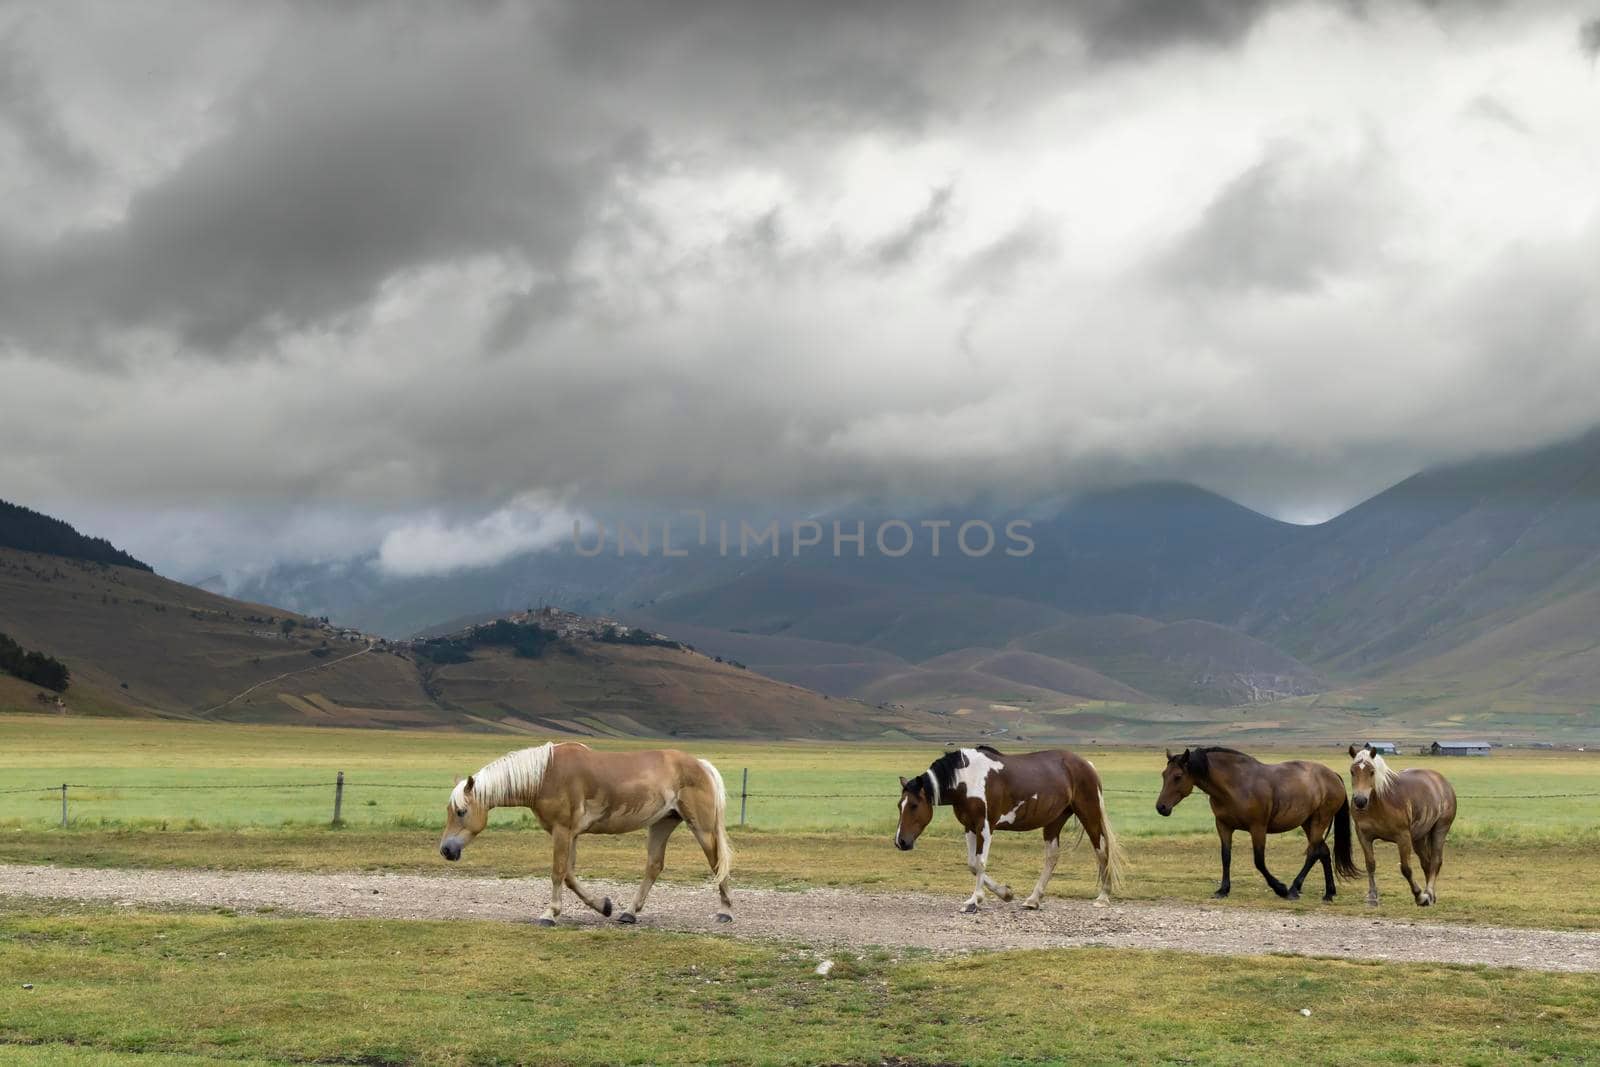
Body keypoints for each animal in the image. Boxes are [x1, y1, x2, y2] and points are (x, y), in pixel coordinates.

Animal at [441, 742, 732, 927]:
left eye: (461, 811)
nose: (446, 850)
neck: (546, 775)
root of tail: (700, 764)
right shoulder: (570, 834)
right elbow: (569, 876)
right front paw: (604, 906)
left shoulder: (562, 831)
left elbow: (557, 872)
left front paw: (549, 914)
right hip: (662, 824)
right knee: (654, 866)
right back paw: (629, 913)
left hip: (701, 827)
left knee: (716, 862)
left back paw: (725, 911)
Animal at [889, 748, 1126, 915]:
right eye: (899, 805)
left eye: (914, 806)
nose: (901, 842)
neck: (969, 779)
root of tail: (1087, 765)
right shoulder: (969, 826)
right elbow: (972, 864)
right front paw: (1005, 893)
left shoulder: (985, 826)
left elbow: (980, 862)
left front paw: (974, 902)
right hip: (1054, 821)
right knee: (1052, 858)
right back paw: (1033, 900)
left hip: (1089, 813)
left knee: (1101, 850)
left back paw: (1103, 897)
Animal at [1158, 748, 1356, 908]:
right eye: (1163, 775)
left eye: (1177, 776)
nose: (1161, 807)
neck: (1237, 784)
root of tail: (1333, 775)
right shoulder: (1224, 826)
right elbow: (1226, 857)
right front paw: (1223, 890)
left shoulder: (1258, 828)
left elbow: (1259, 861)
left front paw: (1280, 888)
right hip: (1308, 823)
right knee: (1323, 852)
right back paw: (1329, 893)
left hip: (1319, 821)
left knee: (1314, 852)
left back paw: (1293, 889)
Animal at [1344, 742, 1459, 908]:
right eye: (1352, 771)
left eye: (1372, 772)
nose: (1360, 801)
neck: (1379, 804)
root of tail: (1443, 782)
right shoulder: (1363, 836)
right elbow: (1370, 864)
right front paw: (1372, 896)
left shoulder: (1403, 837)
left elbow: (1406, 868)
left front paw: (1419, 896)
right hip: (1419, 838)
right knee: (1426, 863)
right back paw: (1431, 897)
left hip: (1440, 829)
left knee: (1435, 862)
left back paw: (1429, 893)